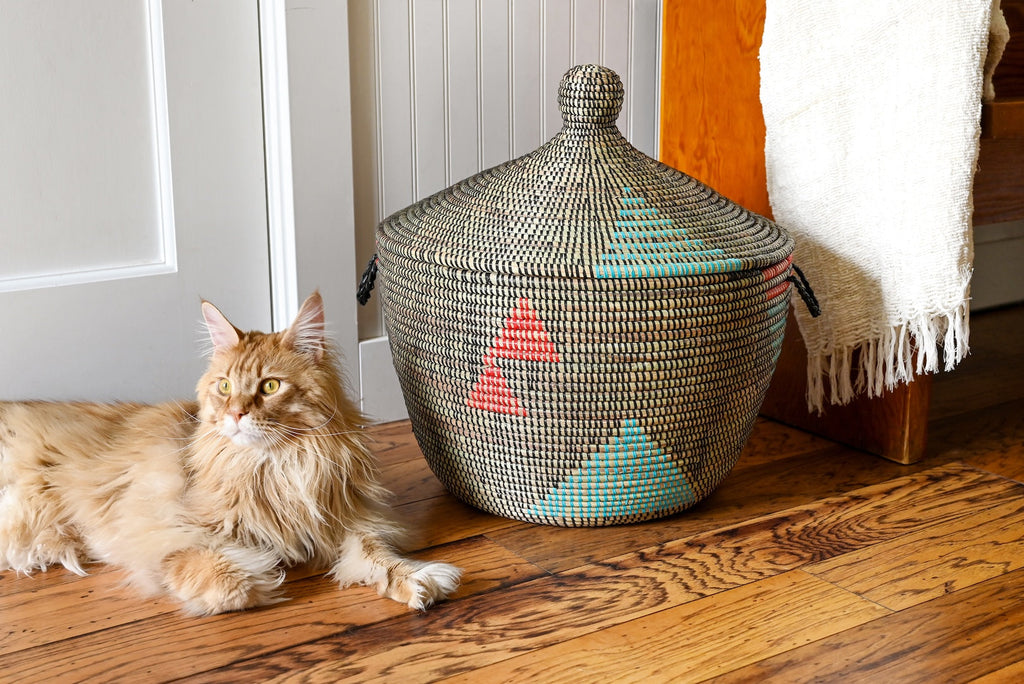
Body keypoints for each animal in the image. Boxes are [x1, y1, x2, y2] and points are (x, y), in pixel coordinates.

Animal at [0, 294, 458, 614]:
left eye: (270, 386)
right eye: (224, 386)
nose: (236, 413)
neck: (274, 468)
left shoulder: (346, 521)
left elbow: (378, 557)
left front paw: (418, 579)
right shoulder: (162, 527)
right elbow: (226, 577)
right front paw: (263, 570)